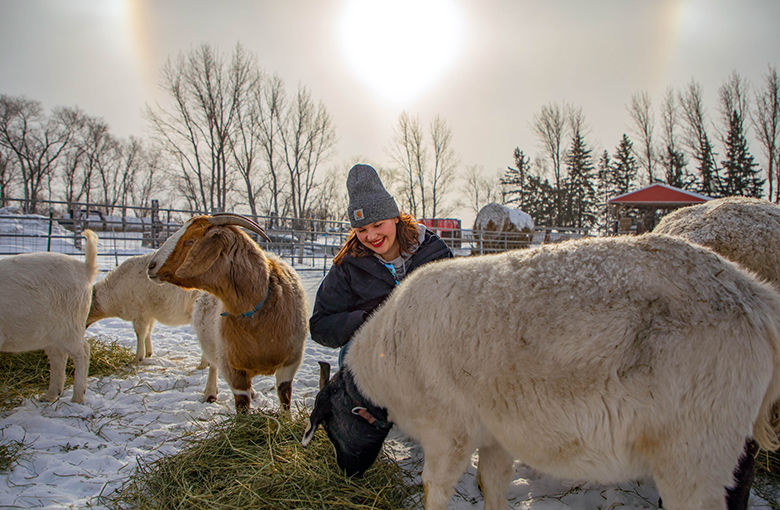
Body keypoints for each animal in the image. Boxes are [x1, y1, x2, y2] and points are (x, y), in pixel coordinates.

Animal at [0, 230, 99, 402]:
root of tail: (85, 268)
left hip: (70, 325)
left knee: (82, 353)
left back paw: (77, 397)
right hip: (51, 333)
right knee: (58, 357)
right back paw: (50, 395)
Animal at [146, 213, 308, 412]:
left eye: (190, 241)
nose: (151, 266)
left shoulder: (291, 361)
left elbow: (285, 397)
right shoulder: (232, 368)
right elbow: (242, 405)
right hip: (211, 344)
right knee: (212, 365)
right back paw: (210, 392)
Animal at [304, 234, 780, 510]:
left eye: (330, 425)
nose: (346, 476)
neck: (387, 366)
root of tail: (757, 298)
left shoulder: (447, 432)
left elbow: (434, 488)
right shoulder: (495, 434)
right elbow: (492, 483)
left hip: (696, 448)